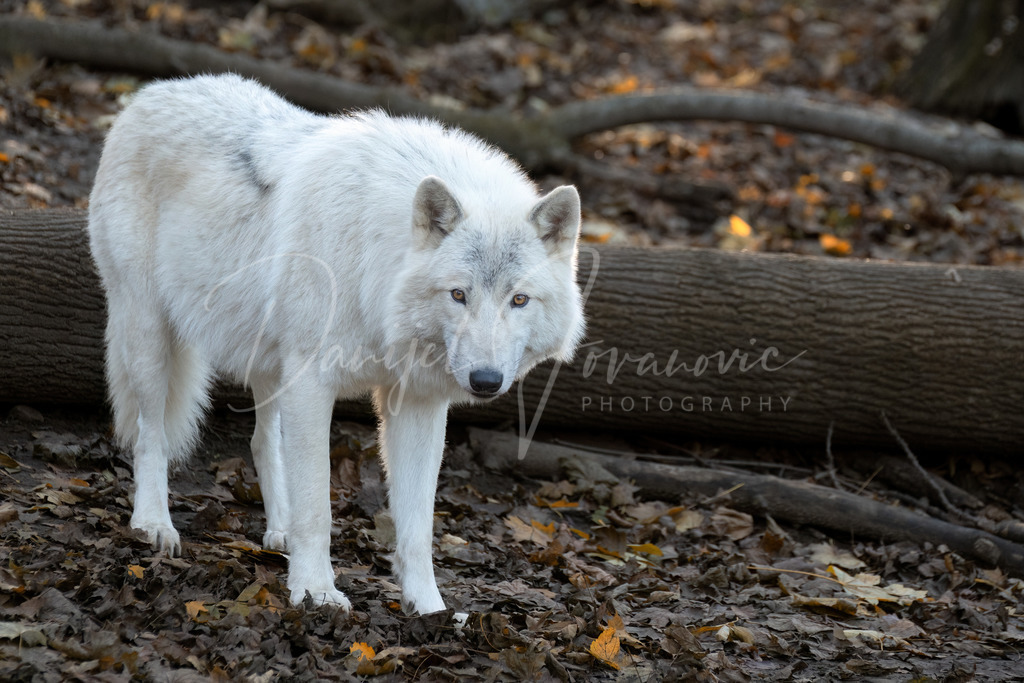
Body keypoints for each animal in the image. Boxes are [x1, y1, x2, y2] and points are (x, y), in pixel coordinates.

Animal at [87, 74, 585, 614]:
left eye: (519, 300)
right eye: (458, 294)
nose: (486, 381)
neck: (376, 276)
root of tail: (152, 92)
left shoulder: (418, 403)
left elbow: (417, 527)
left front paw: (429, 610)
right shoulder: (312, 384)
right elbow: (318, 508)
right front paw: (316, 591)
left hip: (269, 363)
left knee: (262, 441)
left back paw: (278, 532)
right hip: (149, 337)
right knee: (150, 433)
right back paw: (153, 524)